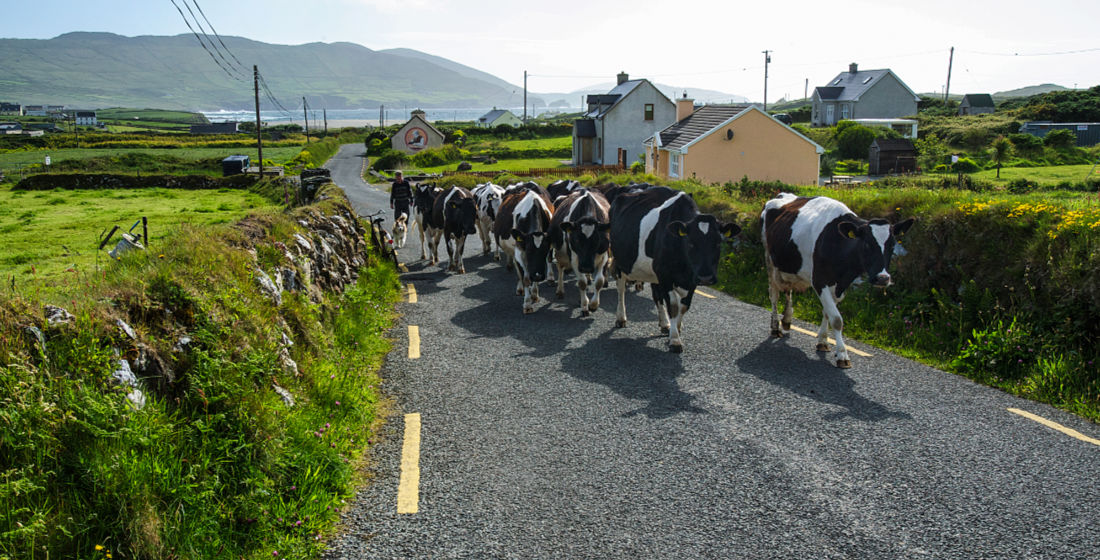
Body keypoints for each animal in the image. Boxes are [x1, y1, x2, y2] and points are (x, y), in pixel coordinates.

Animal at [495, 183, 554, 314]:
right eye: (529, 250)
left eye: (545, 251)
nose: (538, 276)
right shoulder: (520, 251)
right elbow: (525, 278)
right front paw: (527, 304)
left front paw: (535, 294)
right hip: (514, 250)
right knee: (519, 270)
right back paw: (520, 288)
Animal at [611, 188, 739, 354]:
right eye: (690, 243)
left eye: (718, 243)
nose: (706, 277)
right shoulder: (665, 275)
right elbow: (673, 305)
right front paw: (675, 340)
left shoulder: (691, 279)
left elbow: (684, 306)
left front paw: (676, 328)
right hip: (620, 262)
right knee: (621, 290)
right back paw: (621, 318)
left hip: (654, 273)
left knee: (657, 296)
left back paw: (665, 324)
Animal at [761, 192, 915, 367]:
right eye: (867, 244)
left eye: (892, 245)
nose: (882, 278)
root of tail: (783, 195)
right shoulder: (819, 281)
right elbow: (836, 319)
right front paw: (842, 354)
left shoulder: (842, 284)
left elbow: (828, 312)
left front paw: (823, 341)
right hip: (770, 261)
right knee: (774, 295)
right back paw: (775, 327)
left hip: (788, 267)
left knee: (788, 290)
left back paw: (787, 319)